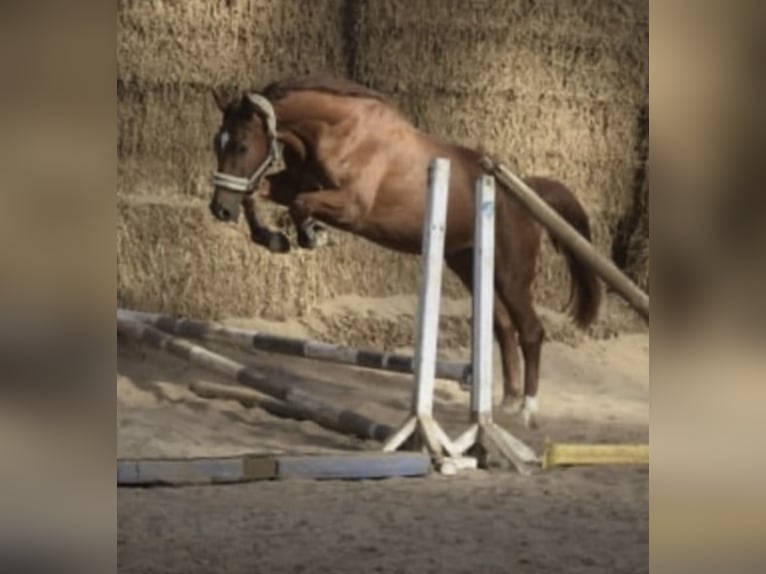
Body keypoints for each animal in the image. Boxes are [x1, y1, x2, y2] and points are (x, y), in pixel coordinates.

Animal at [209, 74, 602, 427]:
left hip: (511, 274)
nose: (219, 210)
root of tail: (528, 193)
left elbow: (300, 204)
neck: (337, 132)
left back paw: (527, 410)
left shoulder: (351, 207)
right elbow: (256, 194)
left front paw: (311, 235)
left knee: (531, 330)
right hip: (467, 263)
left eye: (241, 146)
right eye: (217, 143)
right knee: (503, 326)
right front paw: (272, 239)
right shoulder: (293, 183)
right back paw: (504, 402)